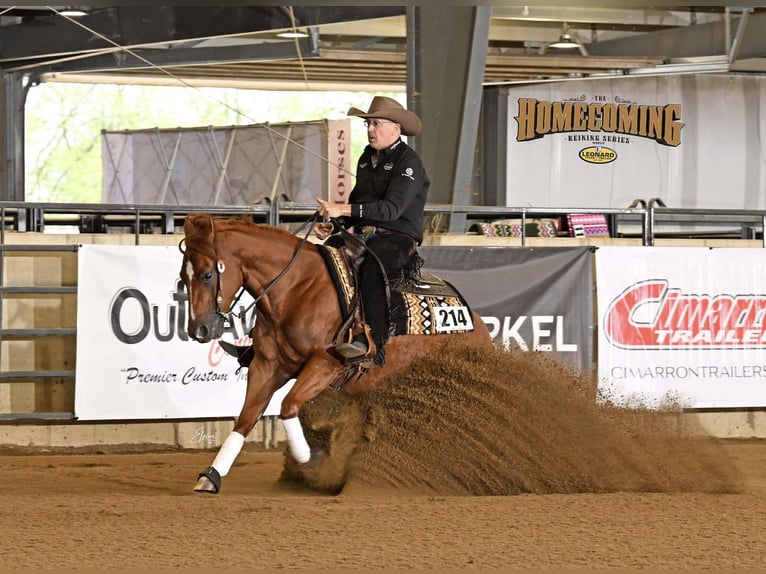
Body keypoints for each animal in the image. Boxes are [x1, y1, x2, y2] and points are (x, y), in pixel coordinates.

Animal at [179, 213, 492, 493]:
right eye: (183, 277)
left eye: (207, 274)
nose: (199, 329)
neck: (297, 288)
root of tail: (477, 325)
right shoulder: (266, 366)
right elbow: (246, 417)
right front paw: (211, 476)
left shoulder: (326, 364)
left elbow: (288, 406)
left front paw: (312, 459)